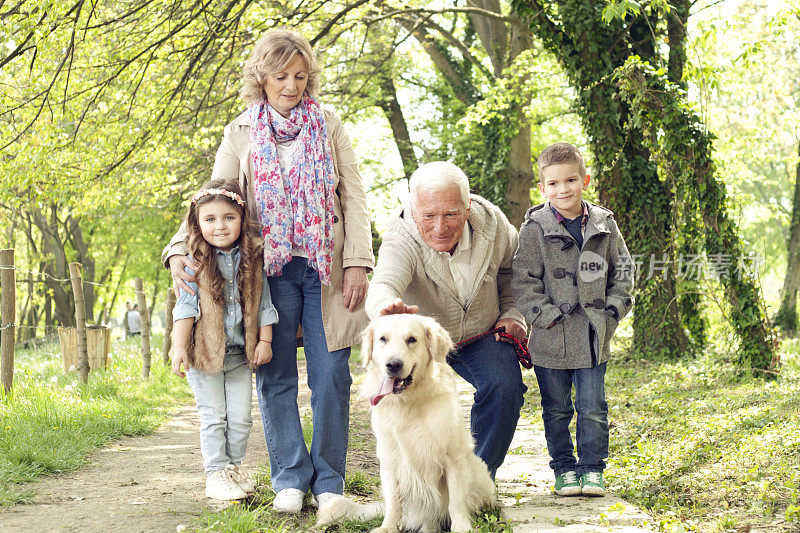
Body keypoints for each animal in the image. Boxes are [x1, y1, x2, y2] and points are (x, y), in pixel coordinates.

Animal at [360, 314, 494, 528]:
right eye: (383, 339)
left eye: (412, 339)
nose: (393, 365)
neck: (408, 402)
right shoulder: (389, 459)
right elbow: (393, 502)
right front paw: (388, 527)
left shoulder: (454, 457)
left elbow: (456, 501)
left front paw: (461, 527)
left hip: (480, 473)